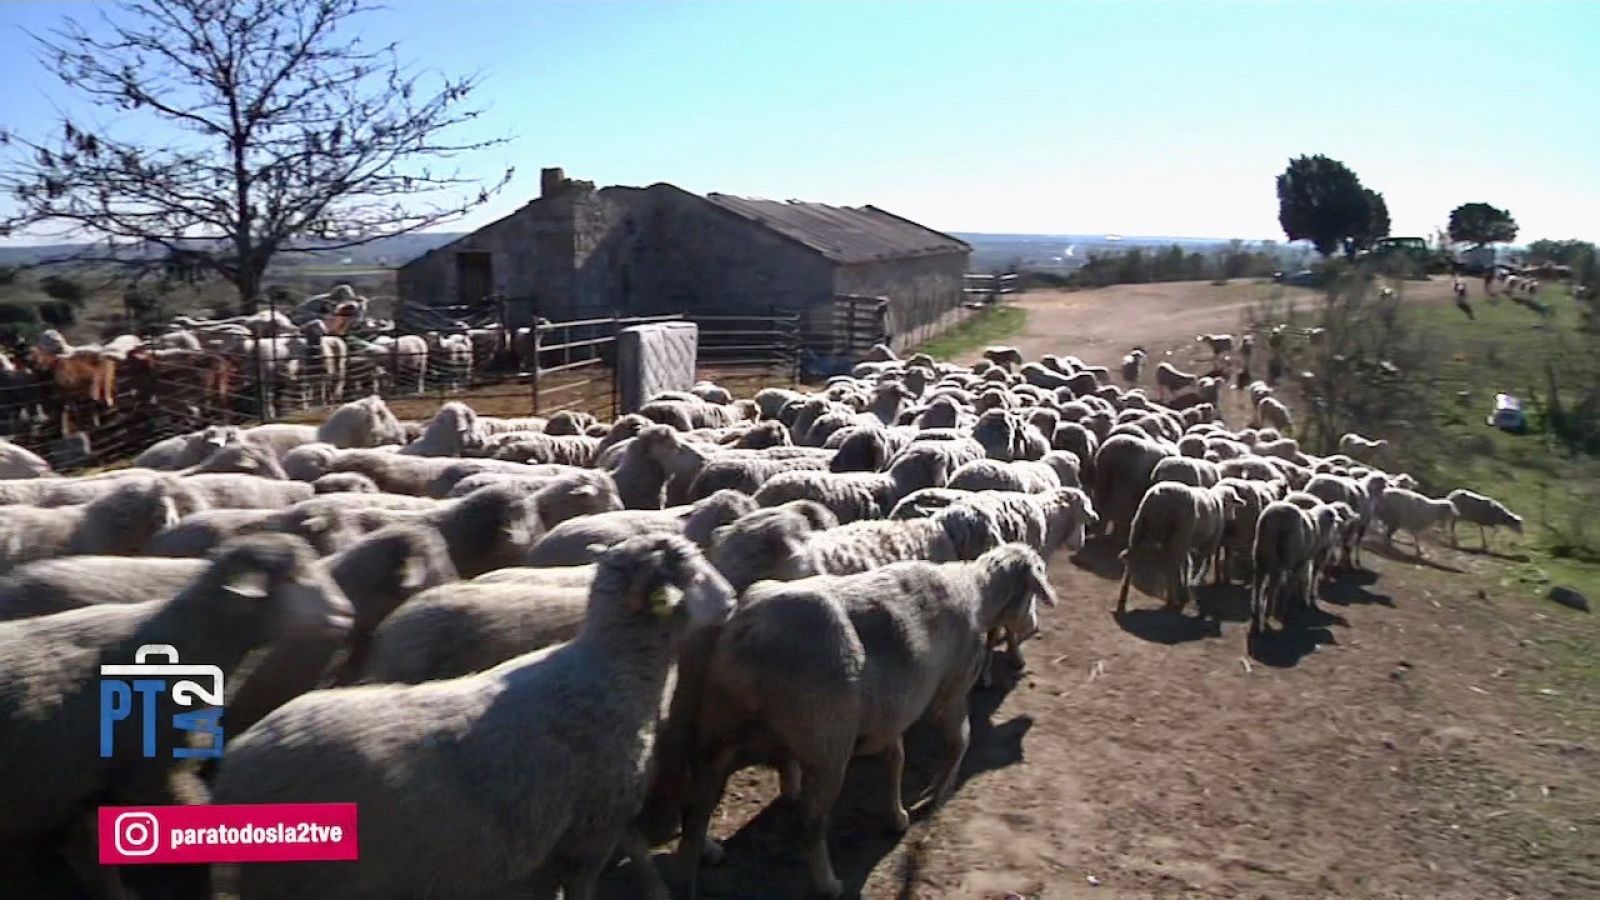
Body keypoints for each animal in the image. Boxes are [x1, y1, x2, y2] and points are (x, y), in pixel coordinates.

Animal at [214, 531, 736, 896]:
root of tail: (240, 759)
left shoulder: (567, 834)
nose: (732, 599)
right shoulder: (592, 830)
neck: (610, 672)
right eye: (691, 575)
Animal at [681, 538, 1056, 896]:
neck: (977, 593)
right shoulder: (951, 690)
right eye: (1032, 591)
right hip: (828, 743)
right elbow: (959, 741)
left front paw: (897, 815)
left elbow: (895, 758)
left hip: (717, 730)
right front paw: (937, 793)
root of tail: (754, 637)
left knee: (698, 808)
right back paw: (828, 884)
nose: (1034, 627)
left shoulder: (891, 711)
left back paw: (707, 850)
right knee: (812, 822)